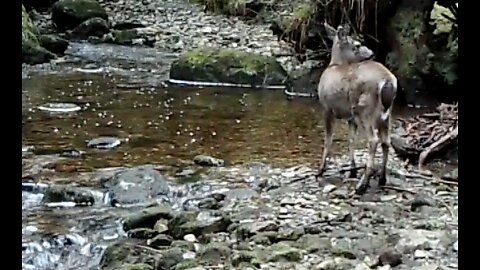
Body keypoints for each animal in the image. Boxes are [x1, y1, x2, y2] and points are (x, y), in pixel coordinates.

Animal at [316, 21, 398, 194]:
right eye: (357, 45)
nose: (372, 53)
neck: (335, 65)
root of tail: (388, 81)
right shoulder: (350, 116)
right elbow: (351, 140)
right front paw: (352, 170)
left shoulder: (327, 107)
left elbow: (328, 139)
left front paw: (320, 169)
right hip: (386, 114)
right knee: (386, 141)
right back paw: (382, 179)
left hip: (366, 110)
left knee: (373, 140)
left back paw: (362, 185)